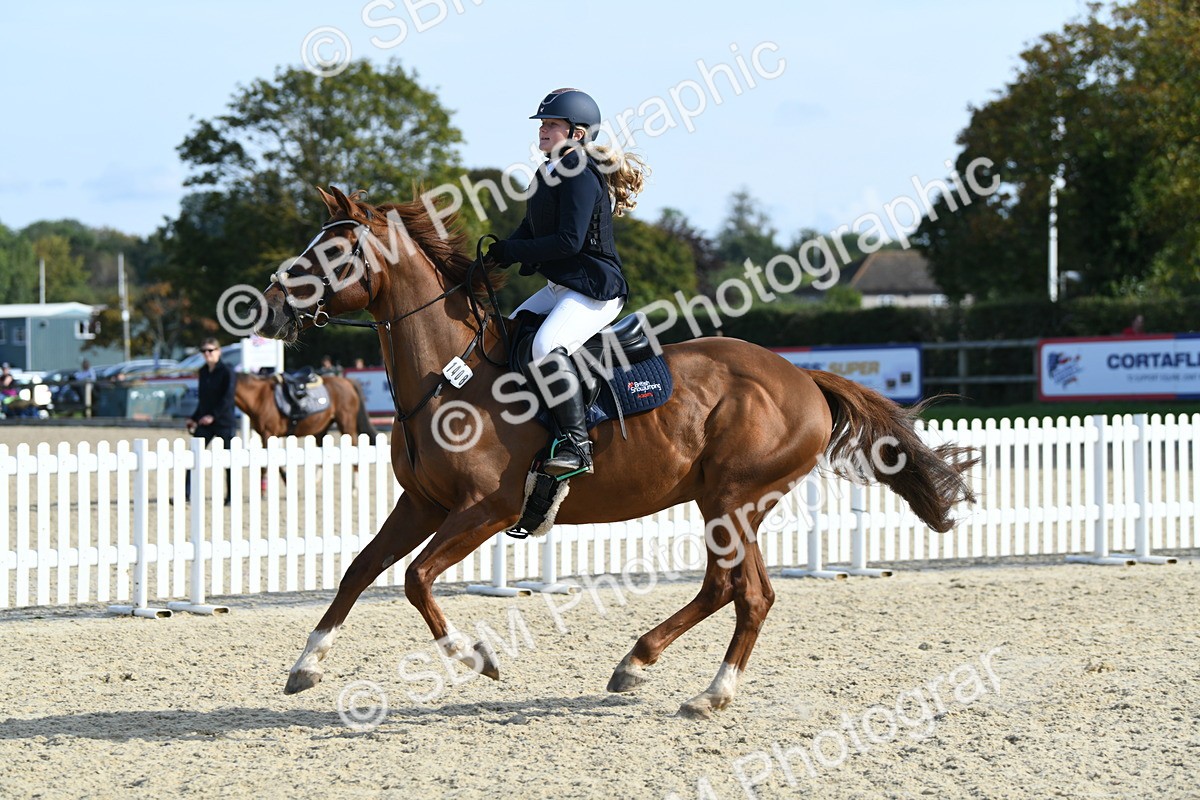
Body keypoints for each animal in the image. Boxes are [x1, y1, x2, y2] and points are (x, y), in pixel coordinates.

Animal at [256, 186, 976, 719]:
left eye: (337, 251)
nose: (267, 304)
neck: (449, 374)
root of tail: (801, 376)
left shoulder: (484, 511)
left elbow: (415, 579)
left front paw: (476, 656)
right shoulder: (423, 504)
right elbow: (360, 570)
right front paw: (306, 664)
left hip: (734, 499)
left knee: (750, 594)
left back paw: (710, 693)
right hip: (724, 503)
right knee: (726, 588)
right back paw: (638, 663)